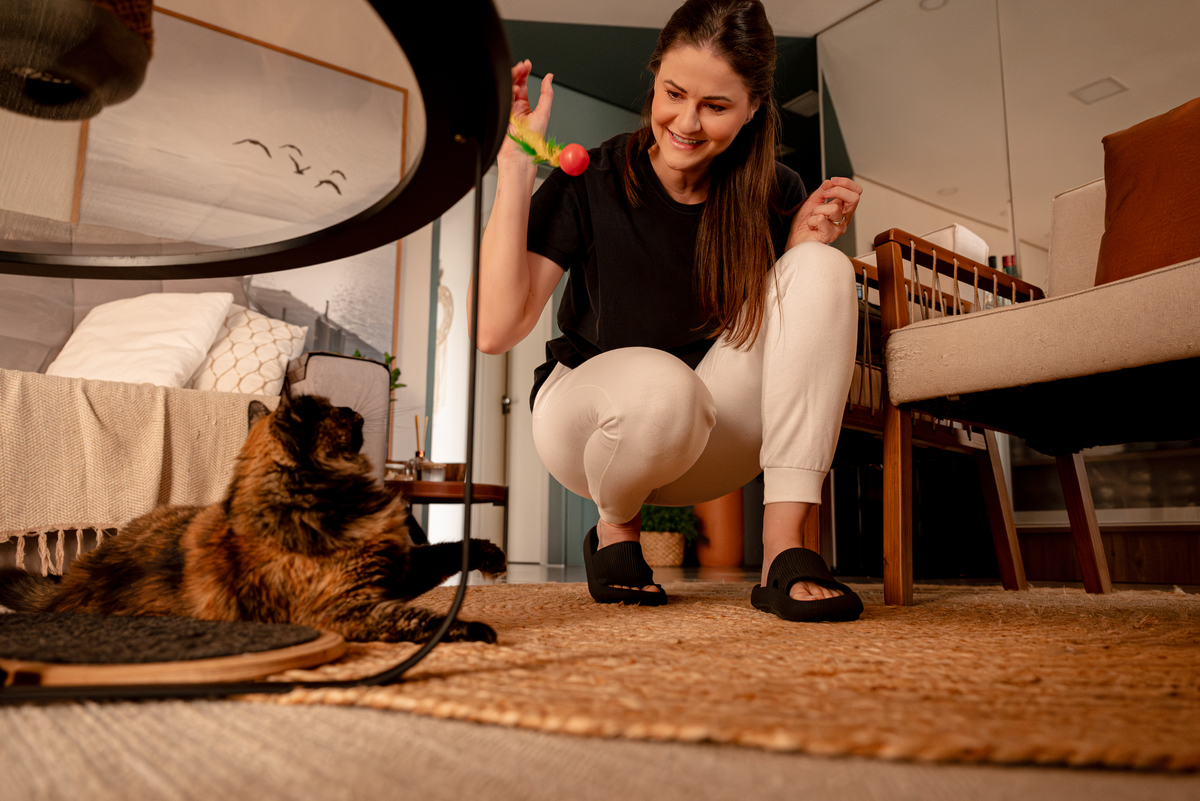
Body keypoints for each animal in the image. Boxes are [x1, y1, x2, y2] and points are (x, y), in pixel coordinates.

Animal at [0, 391, 507, 644]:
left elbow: (447, 550)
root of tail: (68, 587)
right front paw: (472, 629)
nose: (355, 410)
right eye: (338, 413)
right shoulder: (348, 608)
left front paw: (491, 556)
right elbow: (417, 618)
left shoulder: (398, 569)